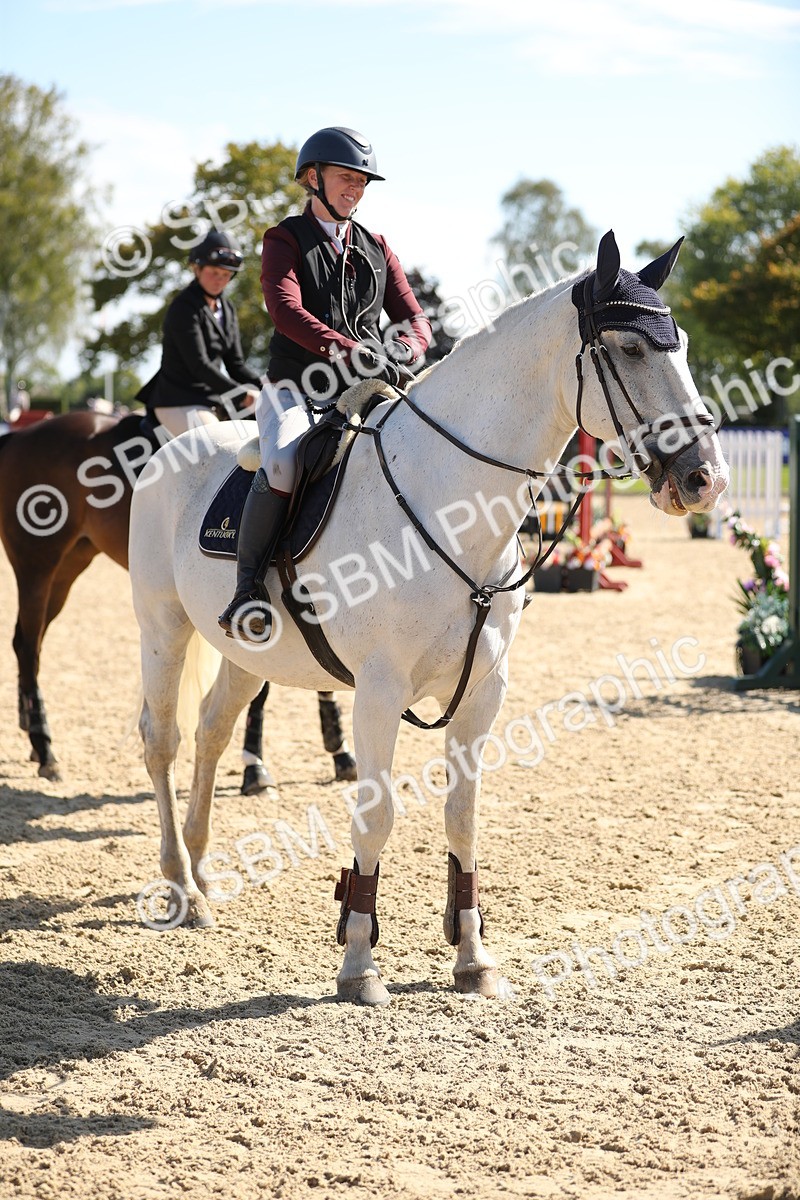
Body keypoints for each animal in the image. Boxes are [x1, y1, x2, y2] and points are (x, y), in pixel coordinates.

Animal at [0, 411, 356, 789]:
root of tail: (21, 436)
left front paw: (340, 751)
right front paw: (255, 766)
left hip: (69, 565)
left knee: (29, 642)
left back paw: (33, 737)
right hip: (38, 566)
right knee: (28, 645)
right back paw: (44, 747)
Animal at [128, 231, 730, 1006]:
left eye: (679, 345)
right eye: (628, 349)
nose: (704, 479)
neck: (449, 502)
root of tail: (170, 450)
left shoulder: (483, 694)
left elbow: (463, 818)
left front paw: (472, 958)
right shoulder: (379, 693)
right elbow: (376, 815)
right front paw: (359, 964)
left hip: (245, 655)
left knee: (211, 732)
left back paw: (203, 876)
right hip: (163, 628)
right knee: (164, 741)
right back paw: (181, 888)